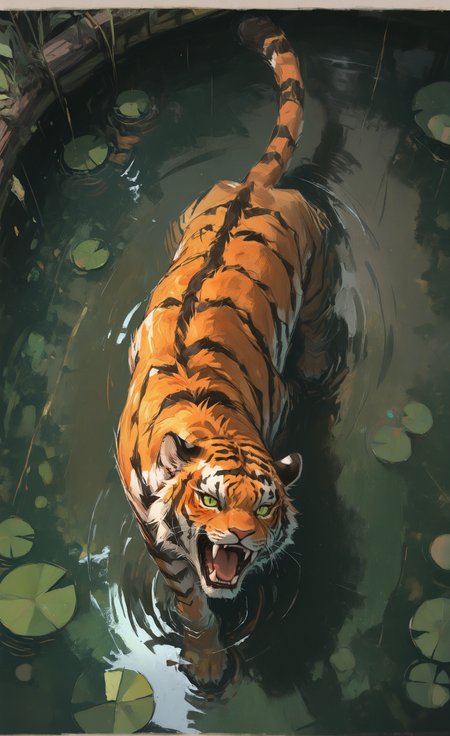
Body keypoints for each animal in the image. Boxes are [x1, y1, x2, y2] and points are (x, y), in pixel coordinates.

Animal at [117, 16, 336, 687]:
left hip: (318, 273)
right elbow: (191, 602)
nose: (238, 539)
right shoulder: (158, 539)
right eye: (209, 498)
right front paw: (208, 662)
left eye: (264, 508)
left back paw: (317, 368)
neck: (210, 424)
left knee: (317, 331)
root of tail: (256, 186)